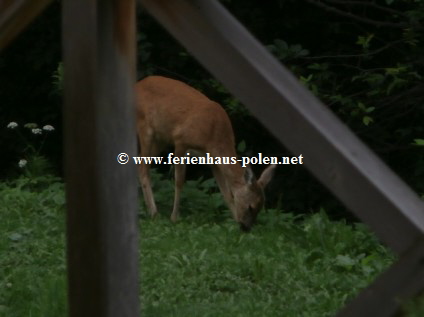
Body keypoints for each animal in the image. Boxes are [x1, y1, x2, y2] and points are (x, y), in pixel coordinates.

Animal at [135, 75, 274, 231]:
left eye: (260, 208)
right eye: (251, 207)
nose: (246, 228)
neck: (213, 136)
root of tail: (138, 84)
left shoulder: (213, 161)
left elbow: (226, 193)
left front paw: (234, 222)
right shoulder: (181, 141)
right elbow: (179, 181)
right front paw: (174, 218)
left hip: (161, 139)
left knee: (139, 163)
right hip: (145, 127)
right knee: (143, 168)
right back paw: (154, 212)